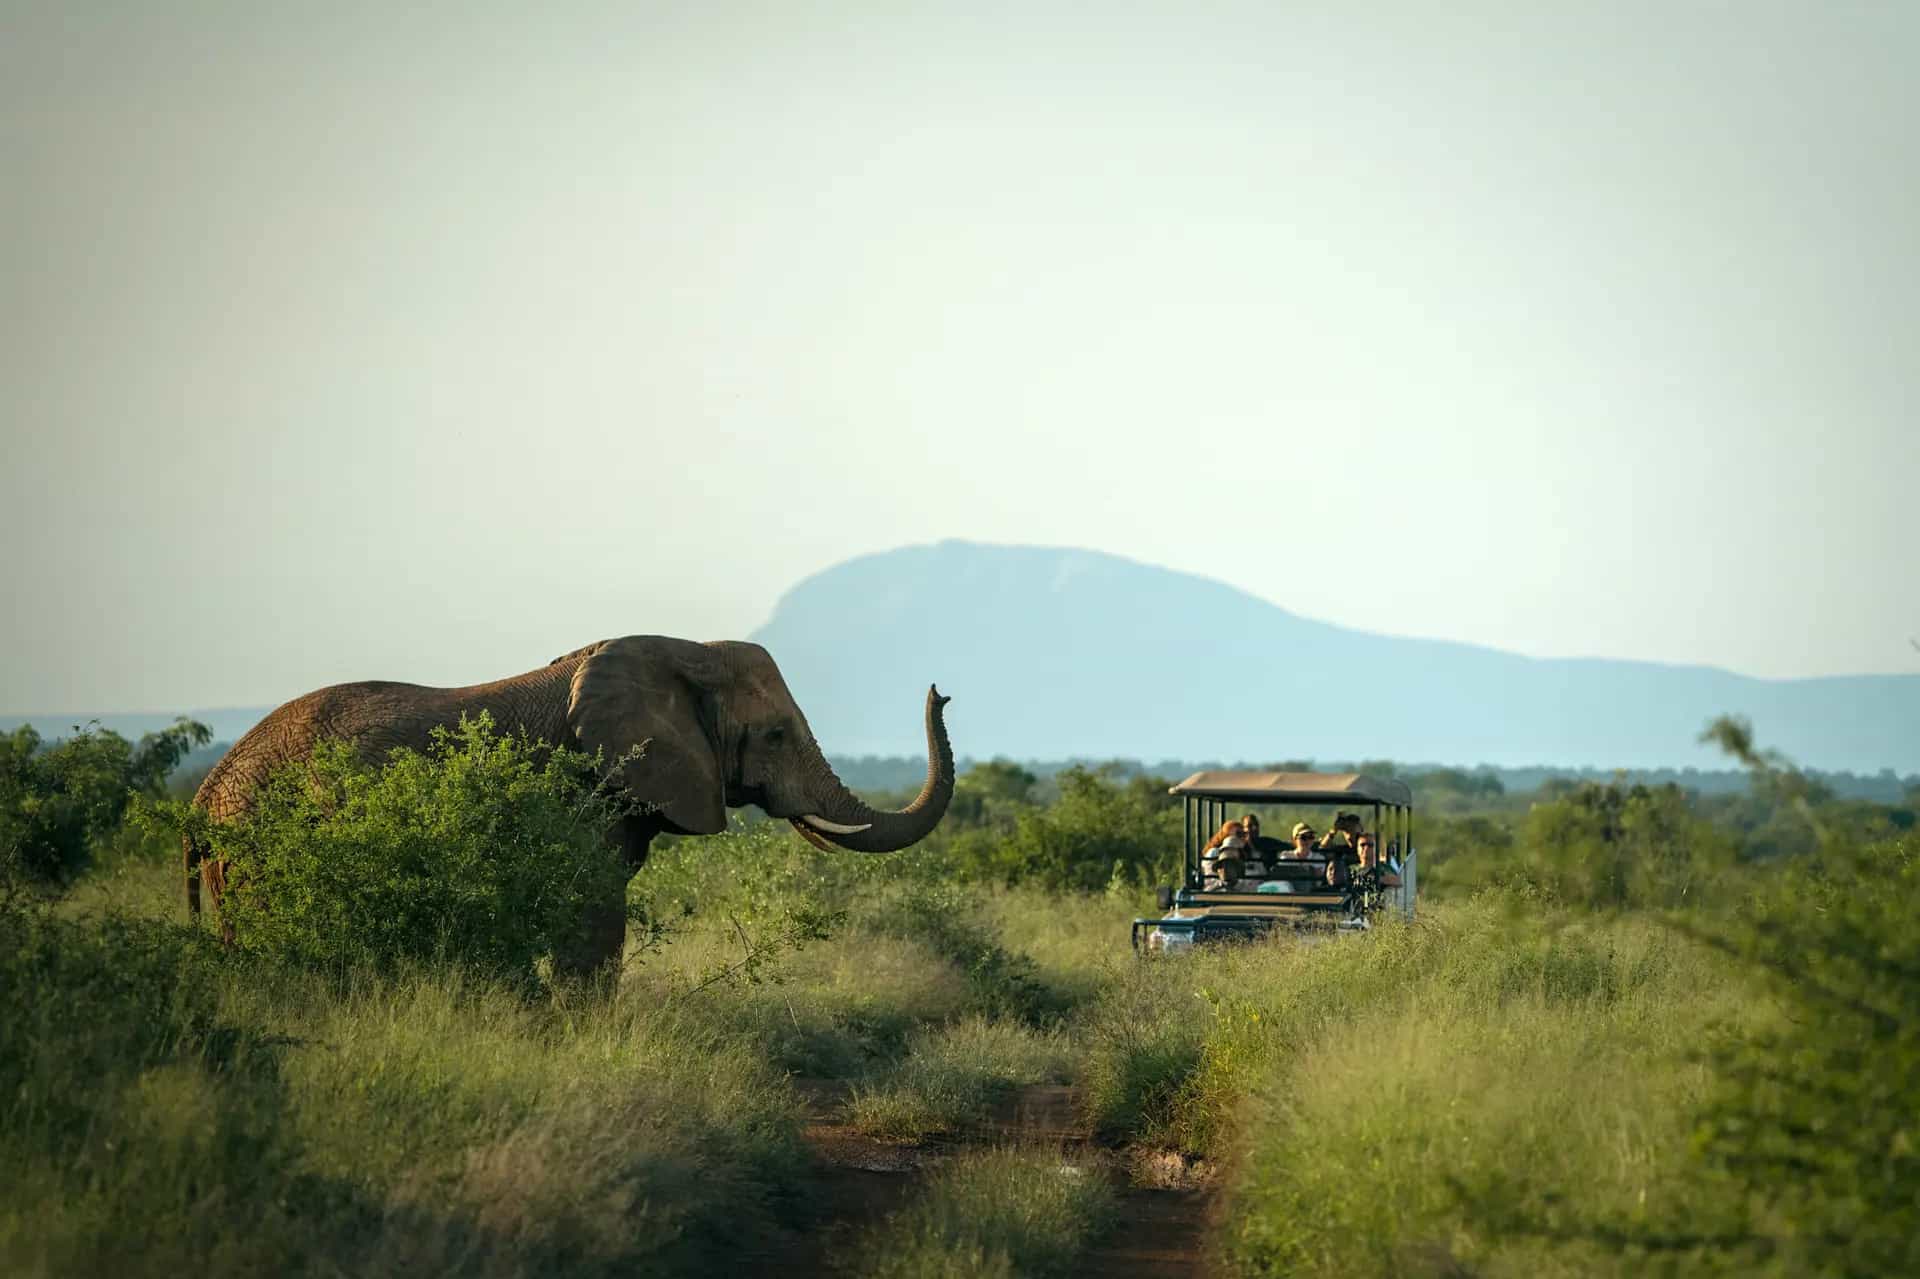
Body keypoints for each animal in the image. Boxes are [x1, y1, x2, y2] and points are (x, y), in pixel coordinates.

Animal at [184, 635, 954, 973]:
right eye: (774, 735)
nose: (941, 690)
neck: (679, 651)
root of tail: (203, 792)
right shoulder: (582, 789)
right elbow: (594, 912)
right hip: (256, 840)